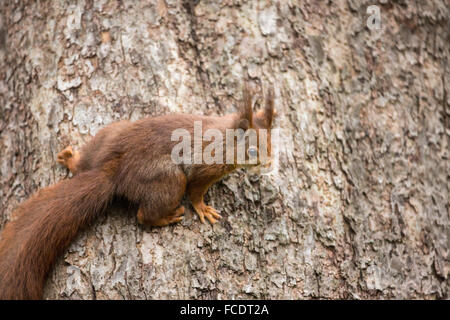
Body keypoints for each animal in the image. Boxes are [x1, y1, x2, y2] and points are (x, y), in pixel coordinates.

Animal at [0, 84, 274, 298]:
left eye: (271, 142)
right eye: (252, 151)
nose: (270, 164)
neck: (225, 139)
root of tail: (114, 171)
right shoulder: (204, 169)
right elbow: (196, 191)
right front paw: (204, 209)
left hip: (109, 134)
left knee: (86, 161)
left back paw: (71, 158)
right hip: (168, 181)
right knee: (145, 215)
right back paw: (166, 217)